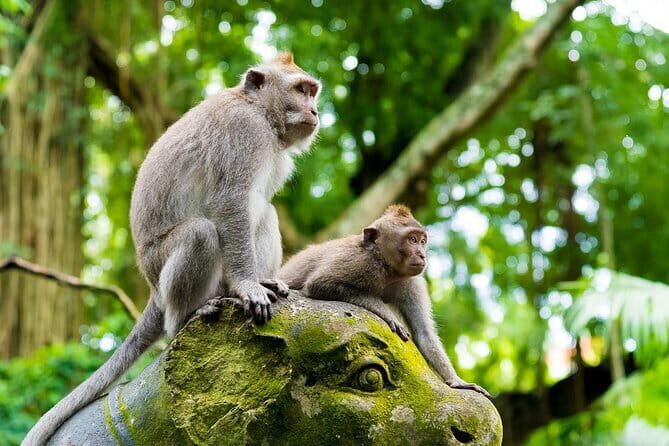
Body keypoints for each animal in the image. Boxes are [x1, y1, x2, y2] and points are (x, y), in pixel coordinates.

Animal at [23, 53, 321, 446]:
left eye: (312, 91)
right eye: (301, 90)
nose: (315, 111)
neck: (258, 111)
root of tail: (152, 289)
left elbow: (251, 207)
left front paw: (258, 283)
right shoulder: (244, 133)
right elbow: (230, 202)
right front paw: (248, 286)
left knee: (264, 212)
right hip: (159, 264)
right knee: (201, 234)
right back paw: (186, 316)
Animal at [279, 205, 490, 398]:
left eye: (423, 241)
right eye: (412, 240)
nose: (422, 255)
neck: (388, 270)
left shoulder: (412, 283)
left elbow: (423, 333)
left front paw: (456, 381)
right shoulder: (358, 261)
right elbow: (320, 284)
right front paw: (388, 315)